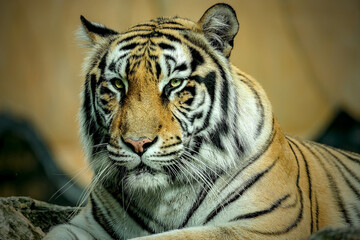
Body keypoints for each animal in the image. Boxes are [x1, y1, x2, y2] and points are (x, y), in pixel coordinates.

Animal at [44, 3, 360, 240]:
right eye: (118, 85)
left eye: (174, 83)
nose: (138, 143)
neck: (163, 196)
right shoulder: (85, 225)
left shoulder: (267, 225)